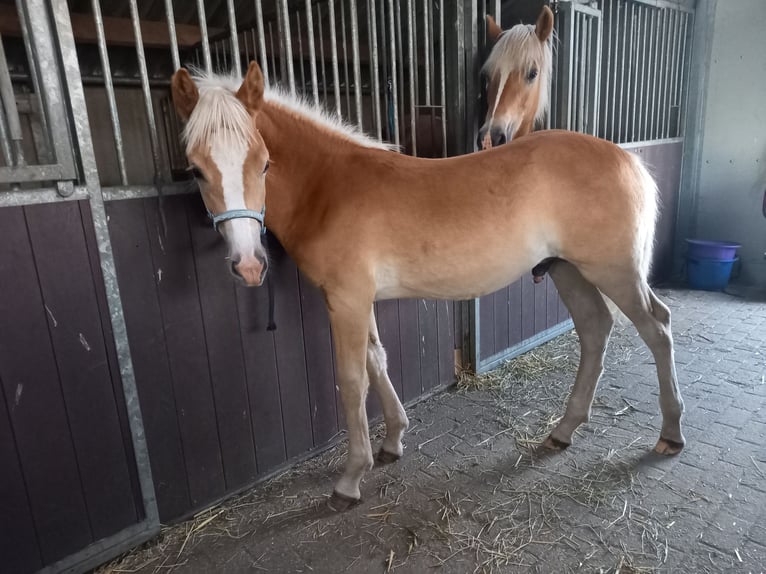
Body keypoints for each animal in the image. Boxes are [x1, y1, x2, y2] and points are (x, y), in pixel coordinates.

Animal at [171, 61, 686, 511]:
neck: (329, 186)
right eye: (196, 170)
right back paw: (564, 430)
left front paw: (349, 480)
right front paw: (393, 441)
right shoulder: (357, 300)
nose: (249, 265)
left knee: (657, 328)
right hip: (568, 271)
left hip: (614, 272)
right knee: (596, 330)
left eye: (263, 163)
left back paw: (670, 433)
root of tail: (627, 158)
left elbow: (352, 380)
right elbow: (377, 360)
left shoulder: (346, 301)